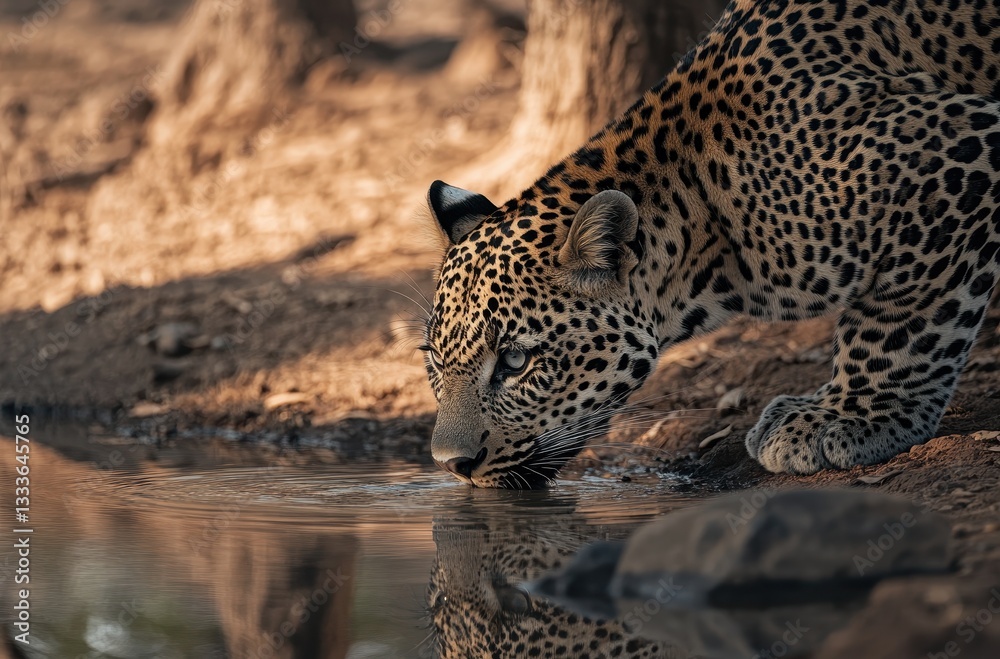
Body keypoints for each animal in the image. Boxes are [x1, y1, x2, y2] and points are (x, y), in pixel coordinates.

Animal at [420, 0, 1000, 486]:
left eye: (516, 362)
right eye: (434, 360)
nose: (451, 466)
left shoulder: (952, 151)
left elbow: (900, 322)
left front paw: (849, 418)